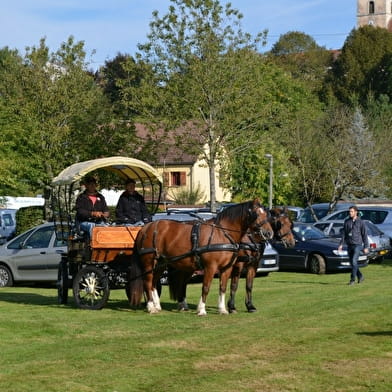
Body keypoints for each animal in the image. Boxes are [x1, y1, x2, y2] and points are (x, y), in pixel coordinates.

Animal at [129, 199, 272, 316]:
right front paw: (202, 310)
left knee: (153, 283)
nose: (269, 233)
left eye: (266, 214)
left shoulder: (227, 268)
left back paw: (157, 306)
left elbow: (223, 287)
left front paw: (222, 309)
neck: (222, 233)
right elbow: (206, 287)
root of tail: (146, 227)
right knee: (147, 282)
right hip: (148, 261)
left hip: (161, 263)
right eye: (256, 214)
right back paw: (151, 307)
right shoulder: (210, 267)